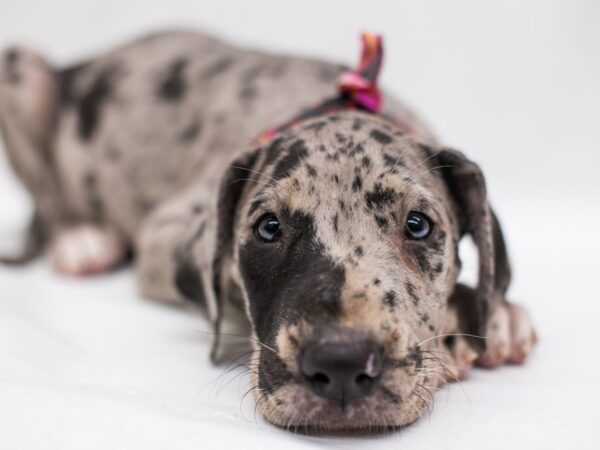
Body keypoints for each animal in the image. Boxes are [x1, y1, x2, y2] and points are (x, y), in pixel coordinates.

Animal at [0, 29, 536, 430]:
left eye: (418, 225)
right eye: (269, 228)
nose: (341, 363)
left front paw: (492, 315)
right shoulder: (165, 232)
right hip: (20, 71)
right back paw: (82, 241)